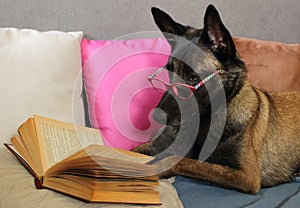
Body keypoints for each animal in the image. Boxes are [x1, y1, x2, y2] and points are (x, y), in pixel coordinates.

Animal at [134, 4, 300, 194]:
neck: (207, 121)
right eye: (170, 71)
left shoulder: (247, 176)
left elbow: (181, 160)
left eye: (193, 77)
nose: (157, 116)